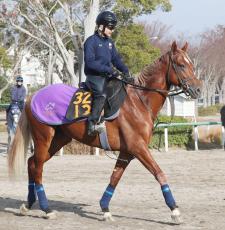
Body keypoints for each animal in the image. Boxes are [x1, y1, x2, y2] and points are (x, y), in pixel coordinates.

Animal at [7, 41, 201, 223]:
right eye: (181, 65)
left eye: (191, 64)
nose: (198, 90)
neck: (139, 101)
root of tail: (32, 97)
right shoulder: (138, 148)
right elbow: (159, 173)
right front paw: (174, 210)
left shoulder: (127, 152)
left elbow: (115, 177)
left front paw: (105, 208)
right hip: (44, 138)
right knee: (38, 168)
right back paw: (46, 209)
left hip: (58, 141)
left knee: (32, 163)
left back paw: (28, 204)